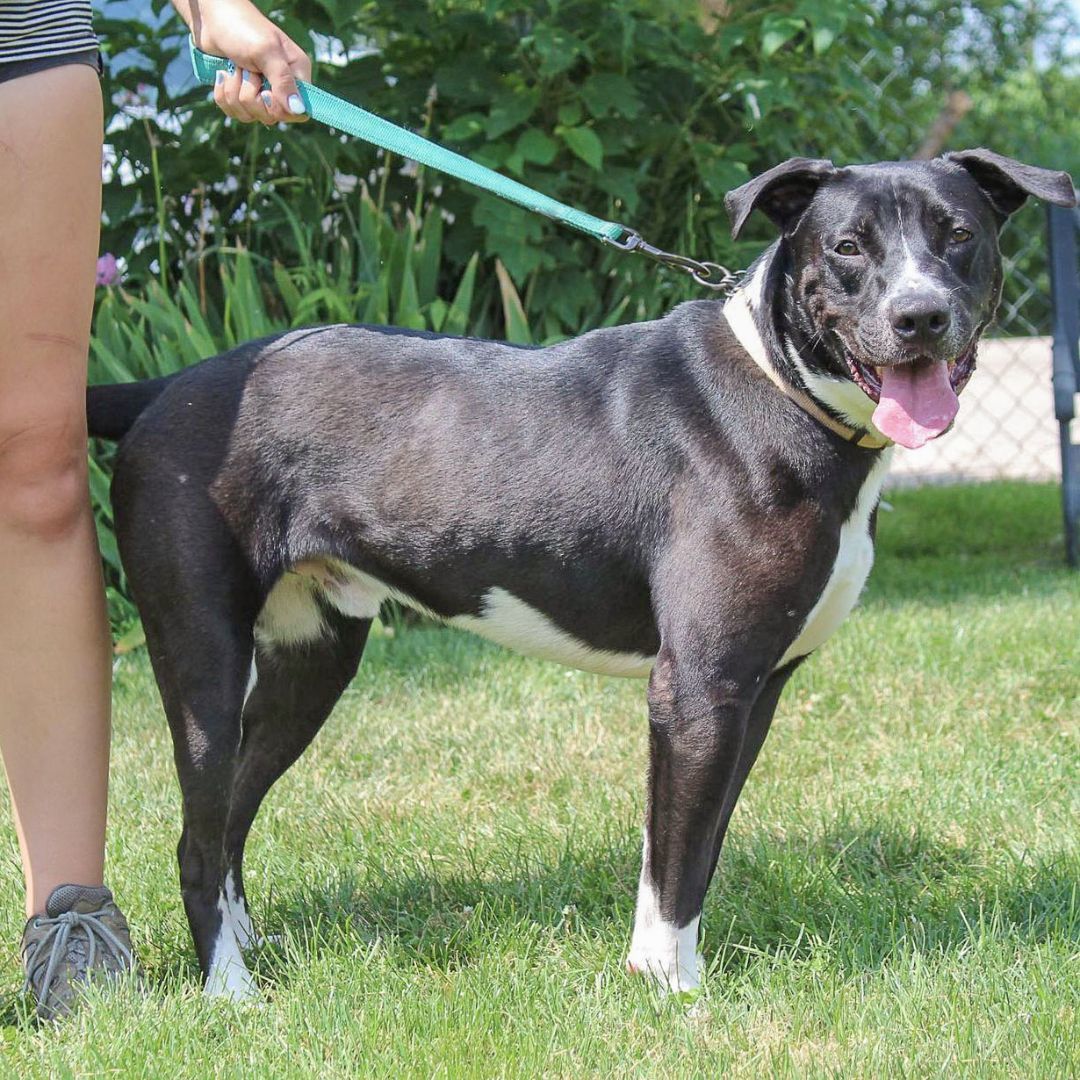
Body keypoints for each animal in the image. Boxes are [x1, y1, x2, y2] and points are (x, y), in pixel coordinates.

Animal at [88, 150, 1075, 993]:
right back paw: (228, 991)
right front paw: (674, 991)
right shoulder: (699, 686)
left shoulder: (753, 691)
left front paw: (652, 970)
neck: (782, 390)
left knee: (230, 812)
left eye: (958, 233)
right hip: (203, 655)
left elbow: (684, 847)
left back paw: (245, 943)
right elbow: (678, 858)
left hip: (312, 657)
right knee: (195, 834)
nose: (920, 317)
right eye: (846, 246)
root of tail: (165, 387)